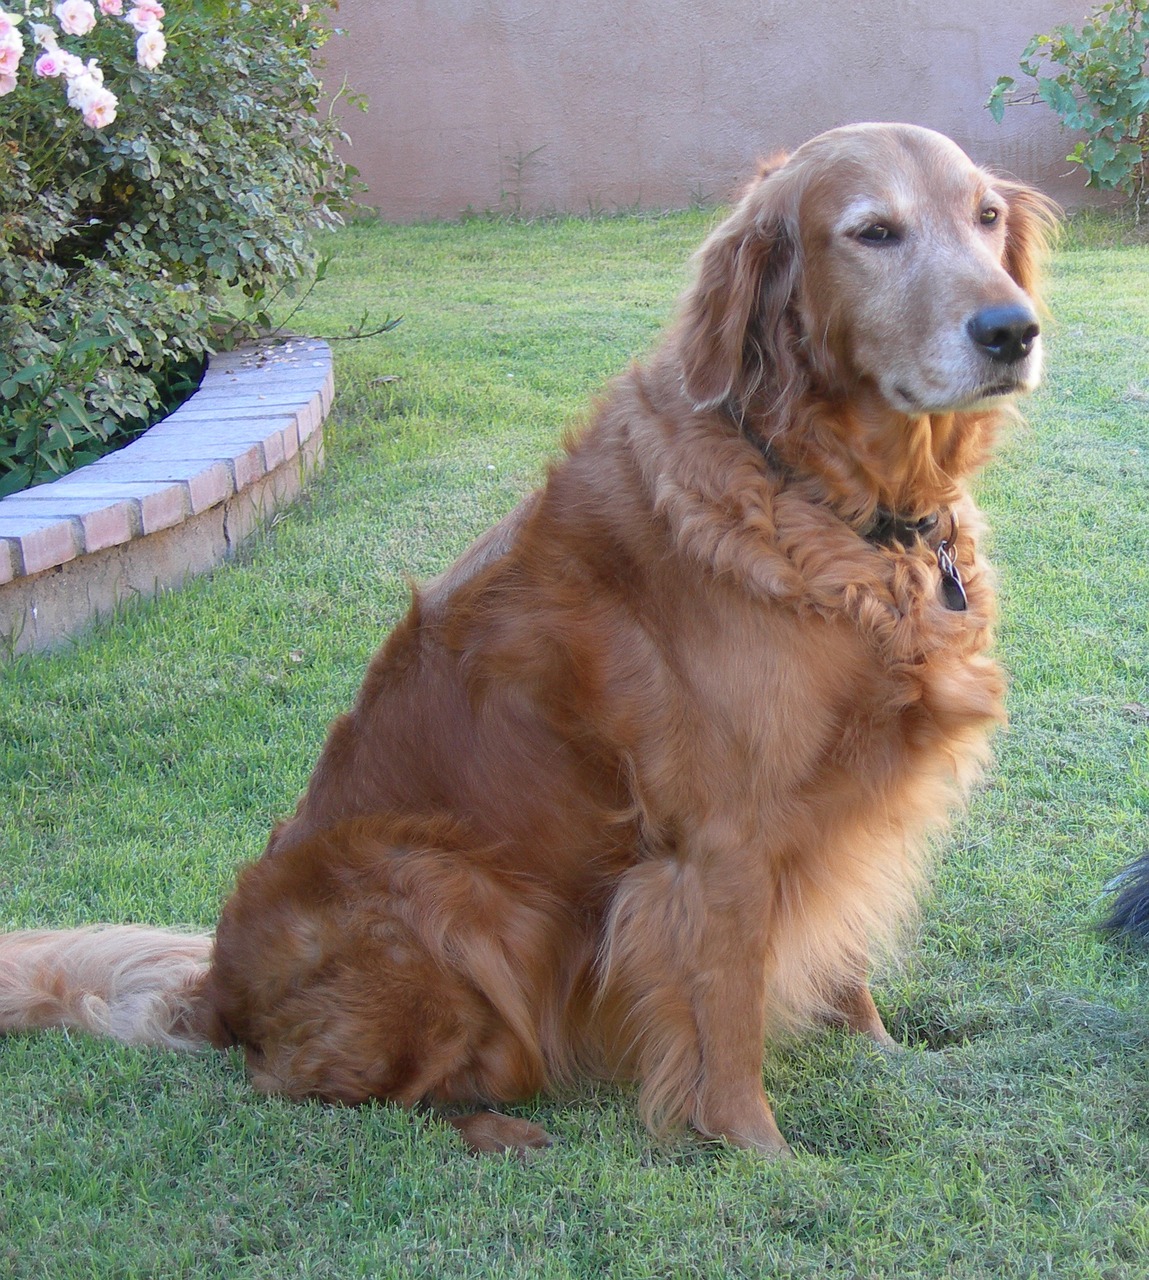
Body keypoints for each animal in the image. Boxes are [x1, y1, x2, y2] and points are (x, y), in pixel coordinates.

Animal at [0, 124, 1054, 1157]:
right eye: (873, 232)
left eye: (983, 217)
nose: (1012, 330)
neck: (836, 501)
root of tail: (217, 992)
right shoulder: (722, 839)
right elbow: (727, 1021)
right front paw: (762, 1157)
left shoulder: (839, 803)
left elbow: (841, 959)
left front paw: (882, 1056)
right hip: (450, 887)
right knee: (314, 1089)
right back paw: (498, 1129)